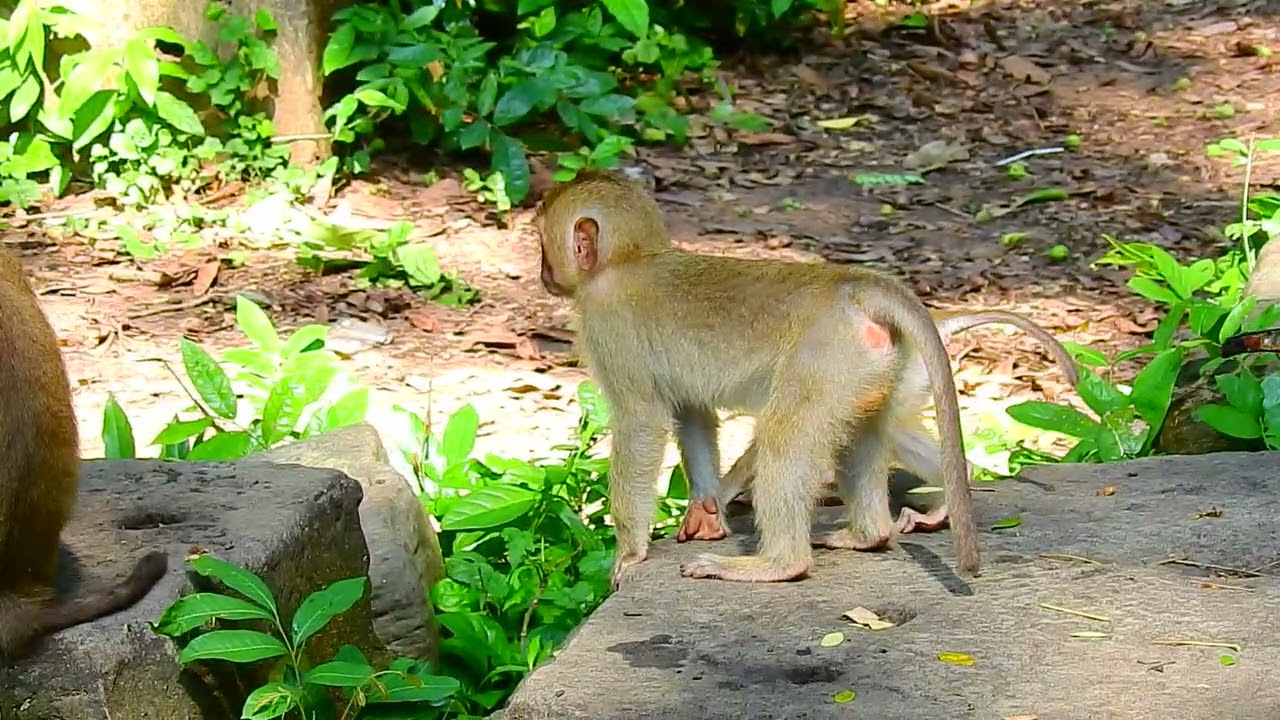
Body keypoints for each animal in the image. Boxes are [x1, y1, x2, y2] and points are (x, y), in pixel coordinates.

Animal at [535, 170, 979, 587]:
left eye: (543, 242)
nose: (543, 273)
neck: (628, 259)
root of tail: (852, 286)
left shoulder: (607, 326)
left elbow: (640, 422)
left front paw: (630, 552)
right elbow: (692, 412)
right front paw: (706, 511)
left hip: (824, 360)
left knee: (785, 439)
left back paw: (779, 564)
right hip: (866, 370)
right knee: (866, 430)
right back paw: (870, 535)